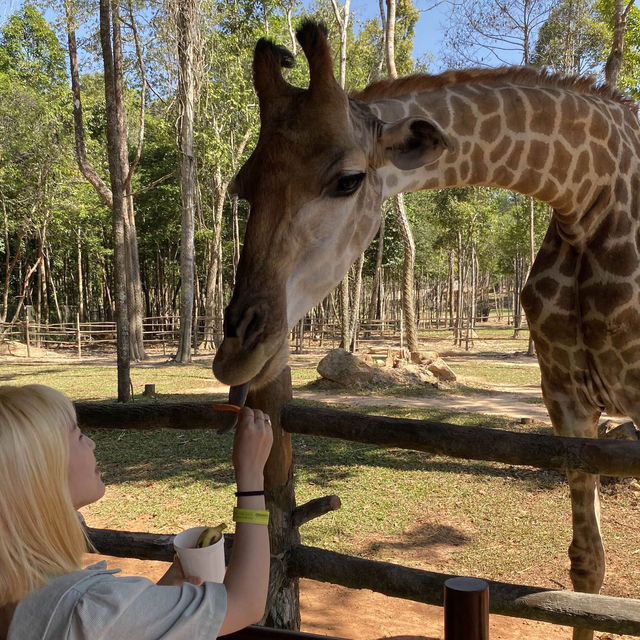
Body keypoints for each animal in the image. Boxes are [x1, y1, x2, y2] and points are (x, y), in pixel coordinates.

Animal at [212, 18, 640, 636]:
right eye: (244, 186)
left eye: (348, 180)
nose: (235, 353)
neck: (589, 194)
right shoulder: (567, 398)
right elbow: (588, 567)